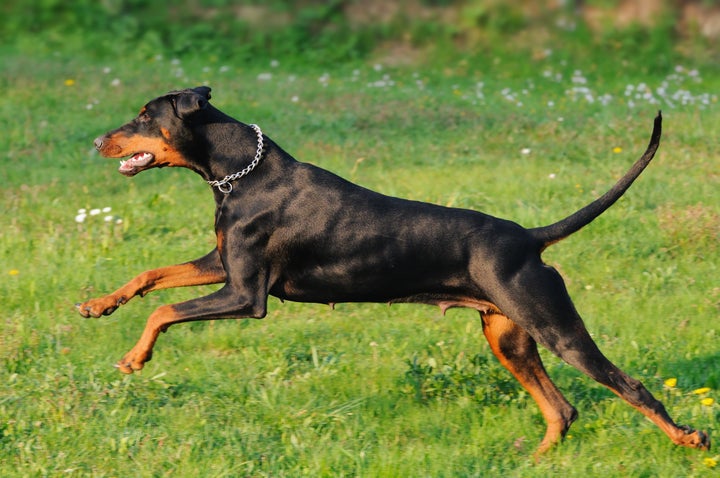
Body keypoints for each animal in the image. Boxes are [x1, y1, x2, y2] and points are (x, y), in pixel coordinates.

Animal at [79, 87, 708, 456]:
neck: (239, 173)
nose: (96, 140)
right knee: (562, 409)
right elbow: (153, 275)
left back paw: (690, 437)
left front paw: (135, 358)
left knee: (628, 387)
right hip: (507, 338)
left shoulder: (246, 295)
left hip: (556, 327)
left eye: (144, 115)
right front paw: (97, 305)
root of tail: (529, 238)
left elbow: (164, 307)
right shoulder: (221, 266)